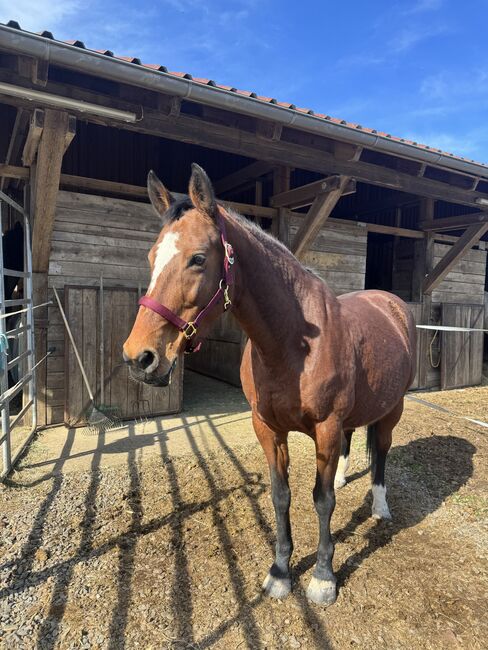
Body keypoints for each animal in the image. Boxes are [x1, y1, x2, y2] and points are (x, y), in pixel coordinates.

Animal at [123, 164, 417, 606]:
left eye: (197, 258)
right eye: (151, 257)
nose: (139, 357)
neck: (292, 344)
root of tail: (391, 304)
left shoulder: (326, 429)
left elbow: (322, 500)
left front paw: (323, 578)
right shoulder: (267, 428)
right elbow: (281, 497)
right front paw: (280, 572)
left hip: (392, 409)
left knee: (381, 451)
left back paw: (380, 507)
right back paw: (345, 476)